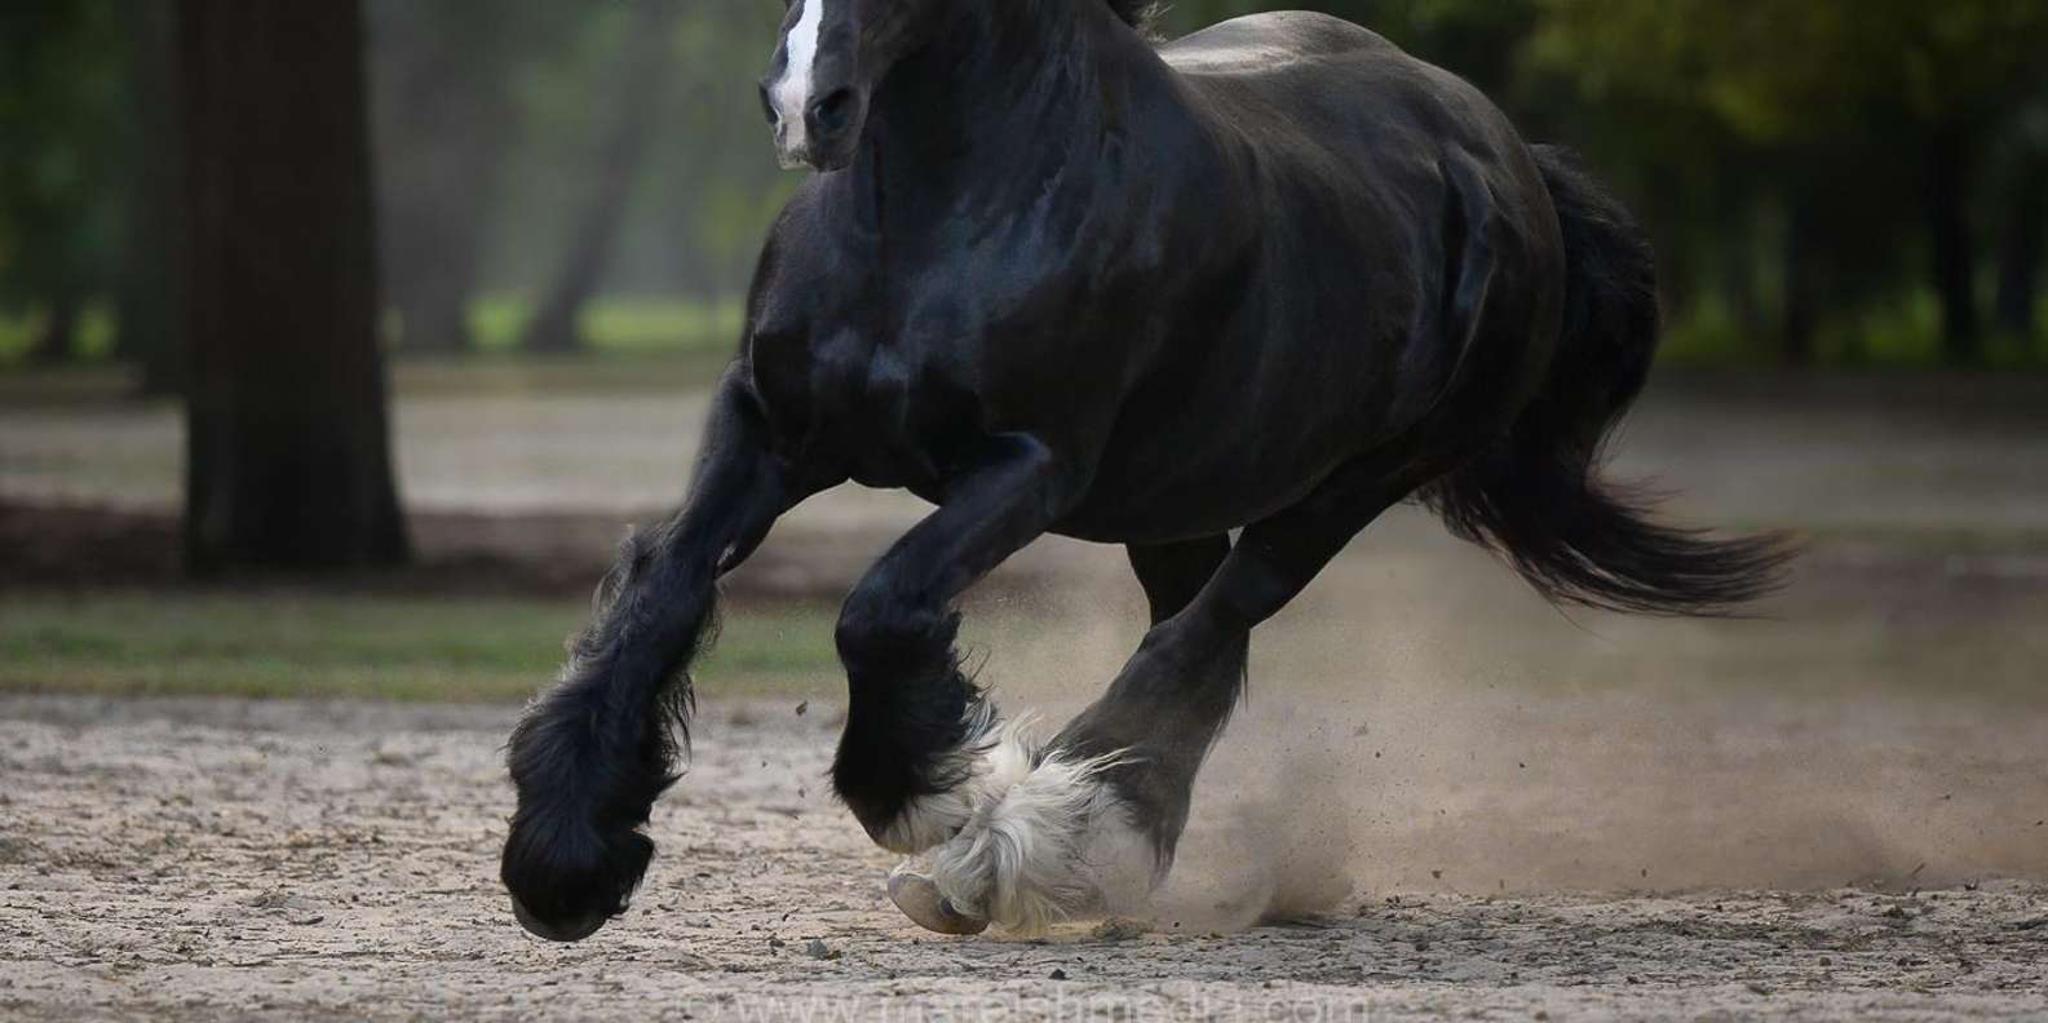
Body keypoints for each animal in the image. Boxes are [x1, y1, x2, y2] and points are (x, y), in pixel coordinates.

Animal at [502, 0, 1789, 941]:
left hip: (1345, 488)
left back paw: (1032, 849)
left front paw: (920, 795)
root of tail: (1505, 158)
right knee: (1197, 648)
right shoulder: (768, 428)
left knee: (1201, 636)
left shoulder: (1026, 468)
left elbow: (881, 608)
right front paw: (565, 862)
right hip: (1176, 500)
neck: (937, 211)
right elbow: (664, 590)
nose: (804, 103)